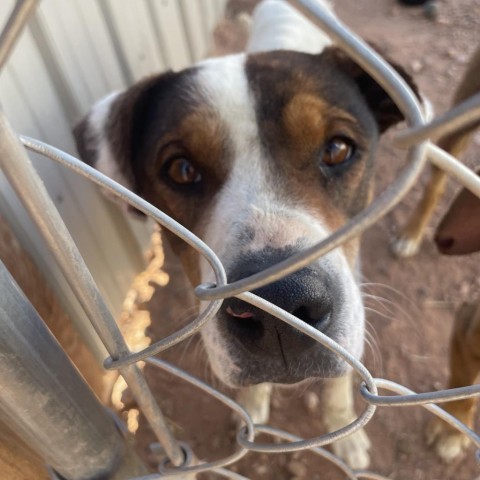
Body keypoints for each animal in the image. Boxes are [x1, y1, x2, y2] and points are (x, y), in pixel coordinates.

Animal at [72, 0, 416, 468]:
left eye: (337, 149)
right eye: (181, 170)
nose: (280, 310)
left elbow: (340, 383)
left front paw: (346, 437)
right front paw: (253, 406)